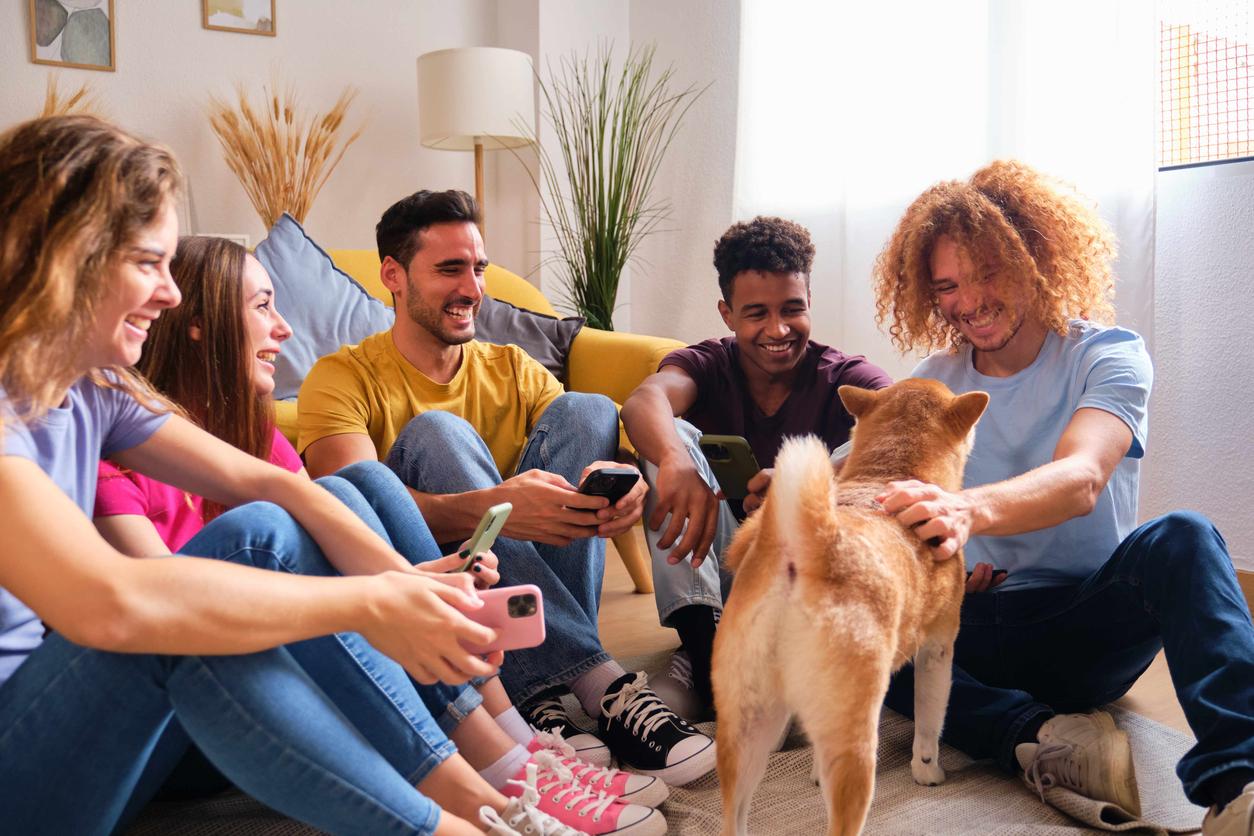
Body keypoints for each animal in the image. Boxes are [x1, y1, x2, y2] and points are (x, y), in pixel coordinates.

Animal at [717, 381, 988, 836]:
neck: (887, 476)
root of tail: (807, 547)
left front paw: (813, 774)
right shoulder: (937, 651)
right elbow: (929, 724)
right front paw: (927, 771)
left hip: (747, 729)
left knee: (734, 818)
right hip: (857, 745)